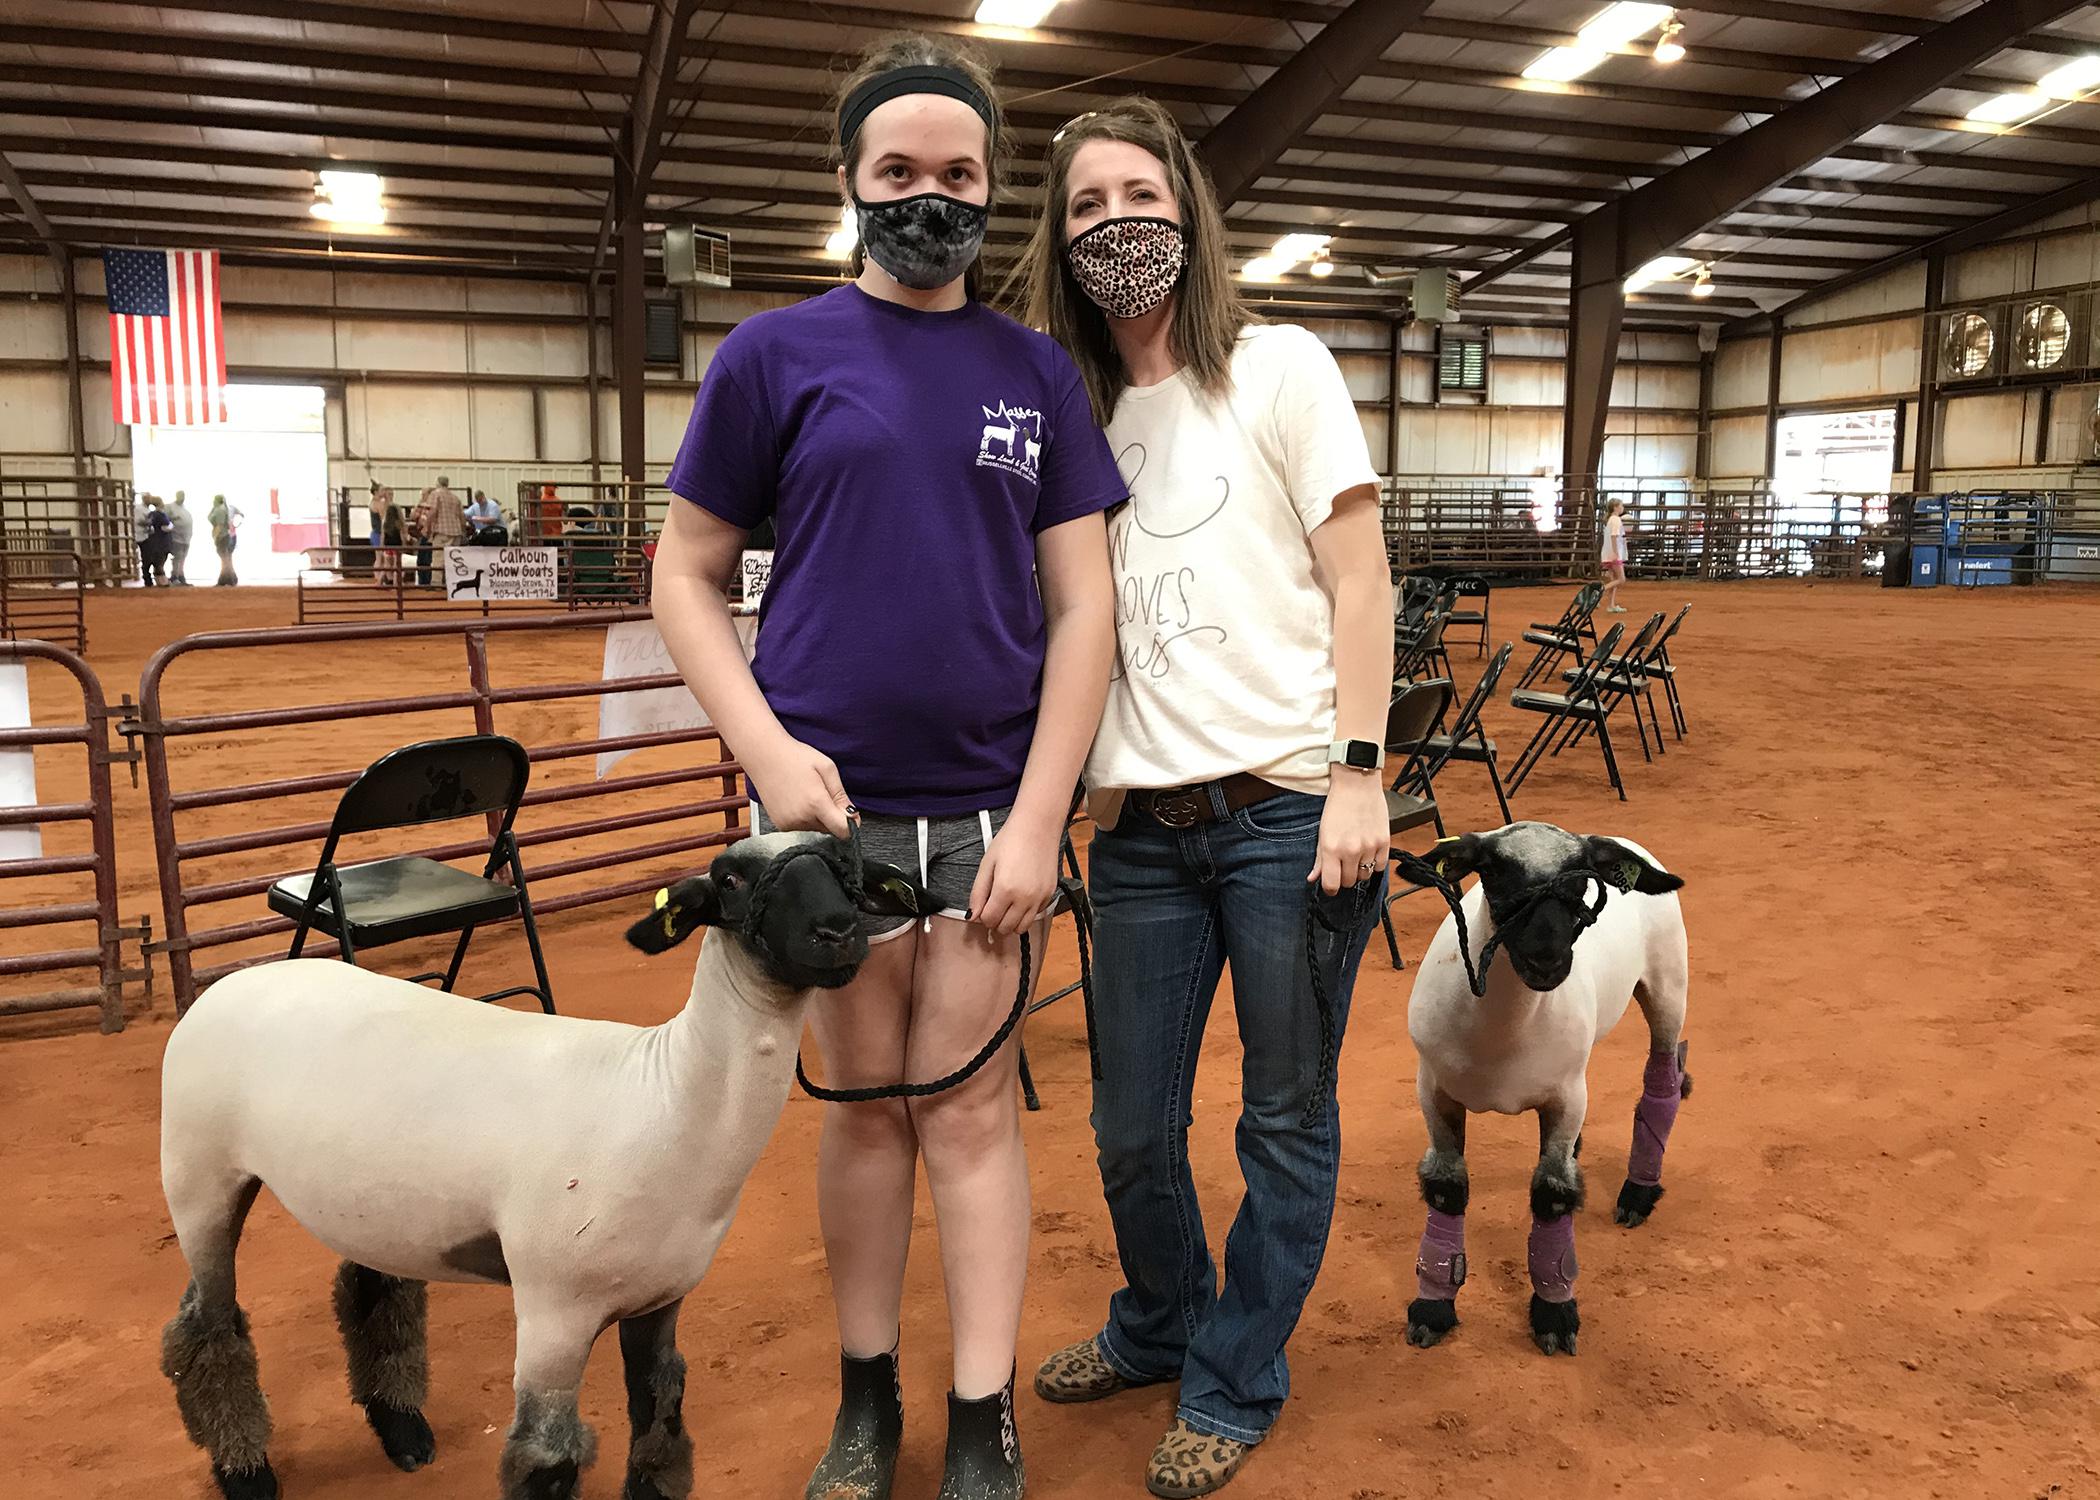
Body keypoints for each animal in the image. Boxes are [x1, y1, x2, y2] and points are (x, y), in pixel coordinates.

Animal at [155, 827, 928, 1495]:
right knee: (206, 1325)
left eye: (845, 866)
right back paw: (246, 1474)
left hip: (371, 1198)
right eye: (731, 878)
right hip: (198, 1173)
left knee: (371, 1289)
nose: (838, 932)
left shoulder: (662, 1295)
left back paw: (403, 1433)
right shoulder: (554, 1308)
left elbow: (658, 1425)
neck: (663, 1099)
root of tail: (232, 983)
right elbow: (547, 1460)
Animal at [1394, 819, 1688, 1352]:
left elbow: (1552, 1192)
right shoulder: (1433, 1090)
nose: (1548, 959)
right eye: (1492, 871)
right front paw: (1433, 1308)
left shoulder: (1565, 1095)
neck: (1501, 1037)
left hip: (1668, 983)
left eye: (1584, 880)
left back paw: (1637, 1194)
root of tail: (1620, 838)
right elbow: (1447, 1188)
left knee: (1663, 1078)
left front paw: (1554, 1313)